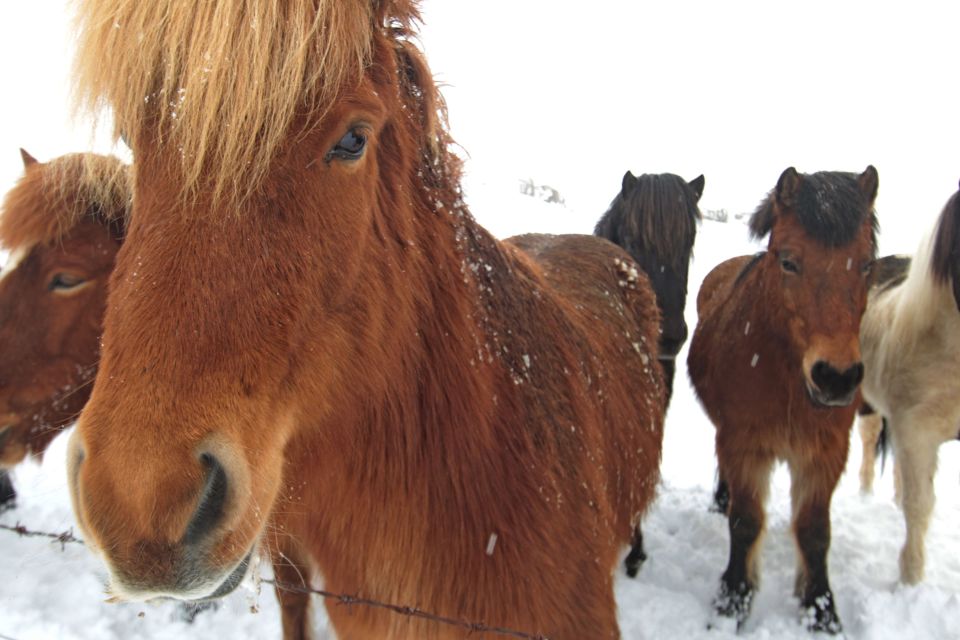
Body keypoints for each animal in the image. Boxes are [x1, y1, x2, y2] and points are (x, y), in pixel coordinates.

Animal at [688, 166, 879, 633]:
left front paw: (821, 610)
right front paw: (733, 600)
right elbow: (745, 522)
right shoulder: (744, 444)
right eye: (789, 261)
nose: (836, 377)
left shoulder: (825, 453)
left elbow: (814, 532)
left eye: (867, 264)